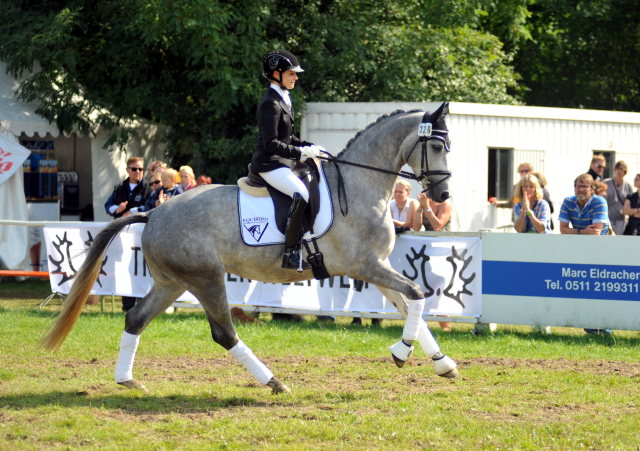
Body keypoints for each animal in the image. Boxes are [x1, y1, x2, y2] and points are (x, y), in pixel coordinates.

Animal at [41, 104, 460, 394]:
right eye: (437, 145)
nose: (442, 196)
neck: (360, 184)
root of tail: (153, 212)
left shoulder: (376, 266)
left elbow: (410, 306)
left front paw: (443, 363)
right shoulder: (366, 266)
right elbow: (417, 295)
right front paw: (402, 352)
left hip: (172, 283)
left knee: (135, 318)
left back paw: (127, 381)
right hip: (206, 279)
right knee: (224, 333)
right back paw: (274, 382)